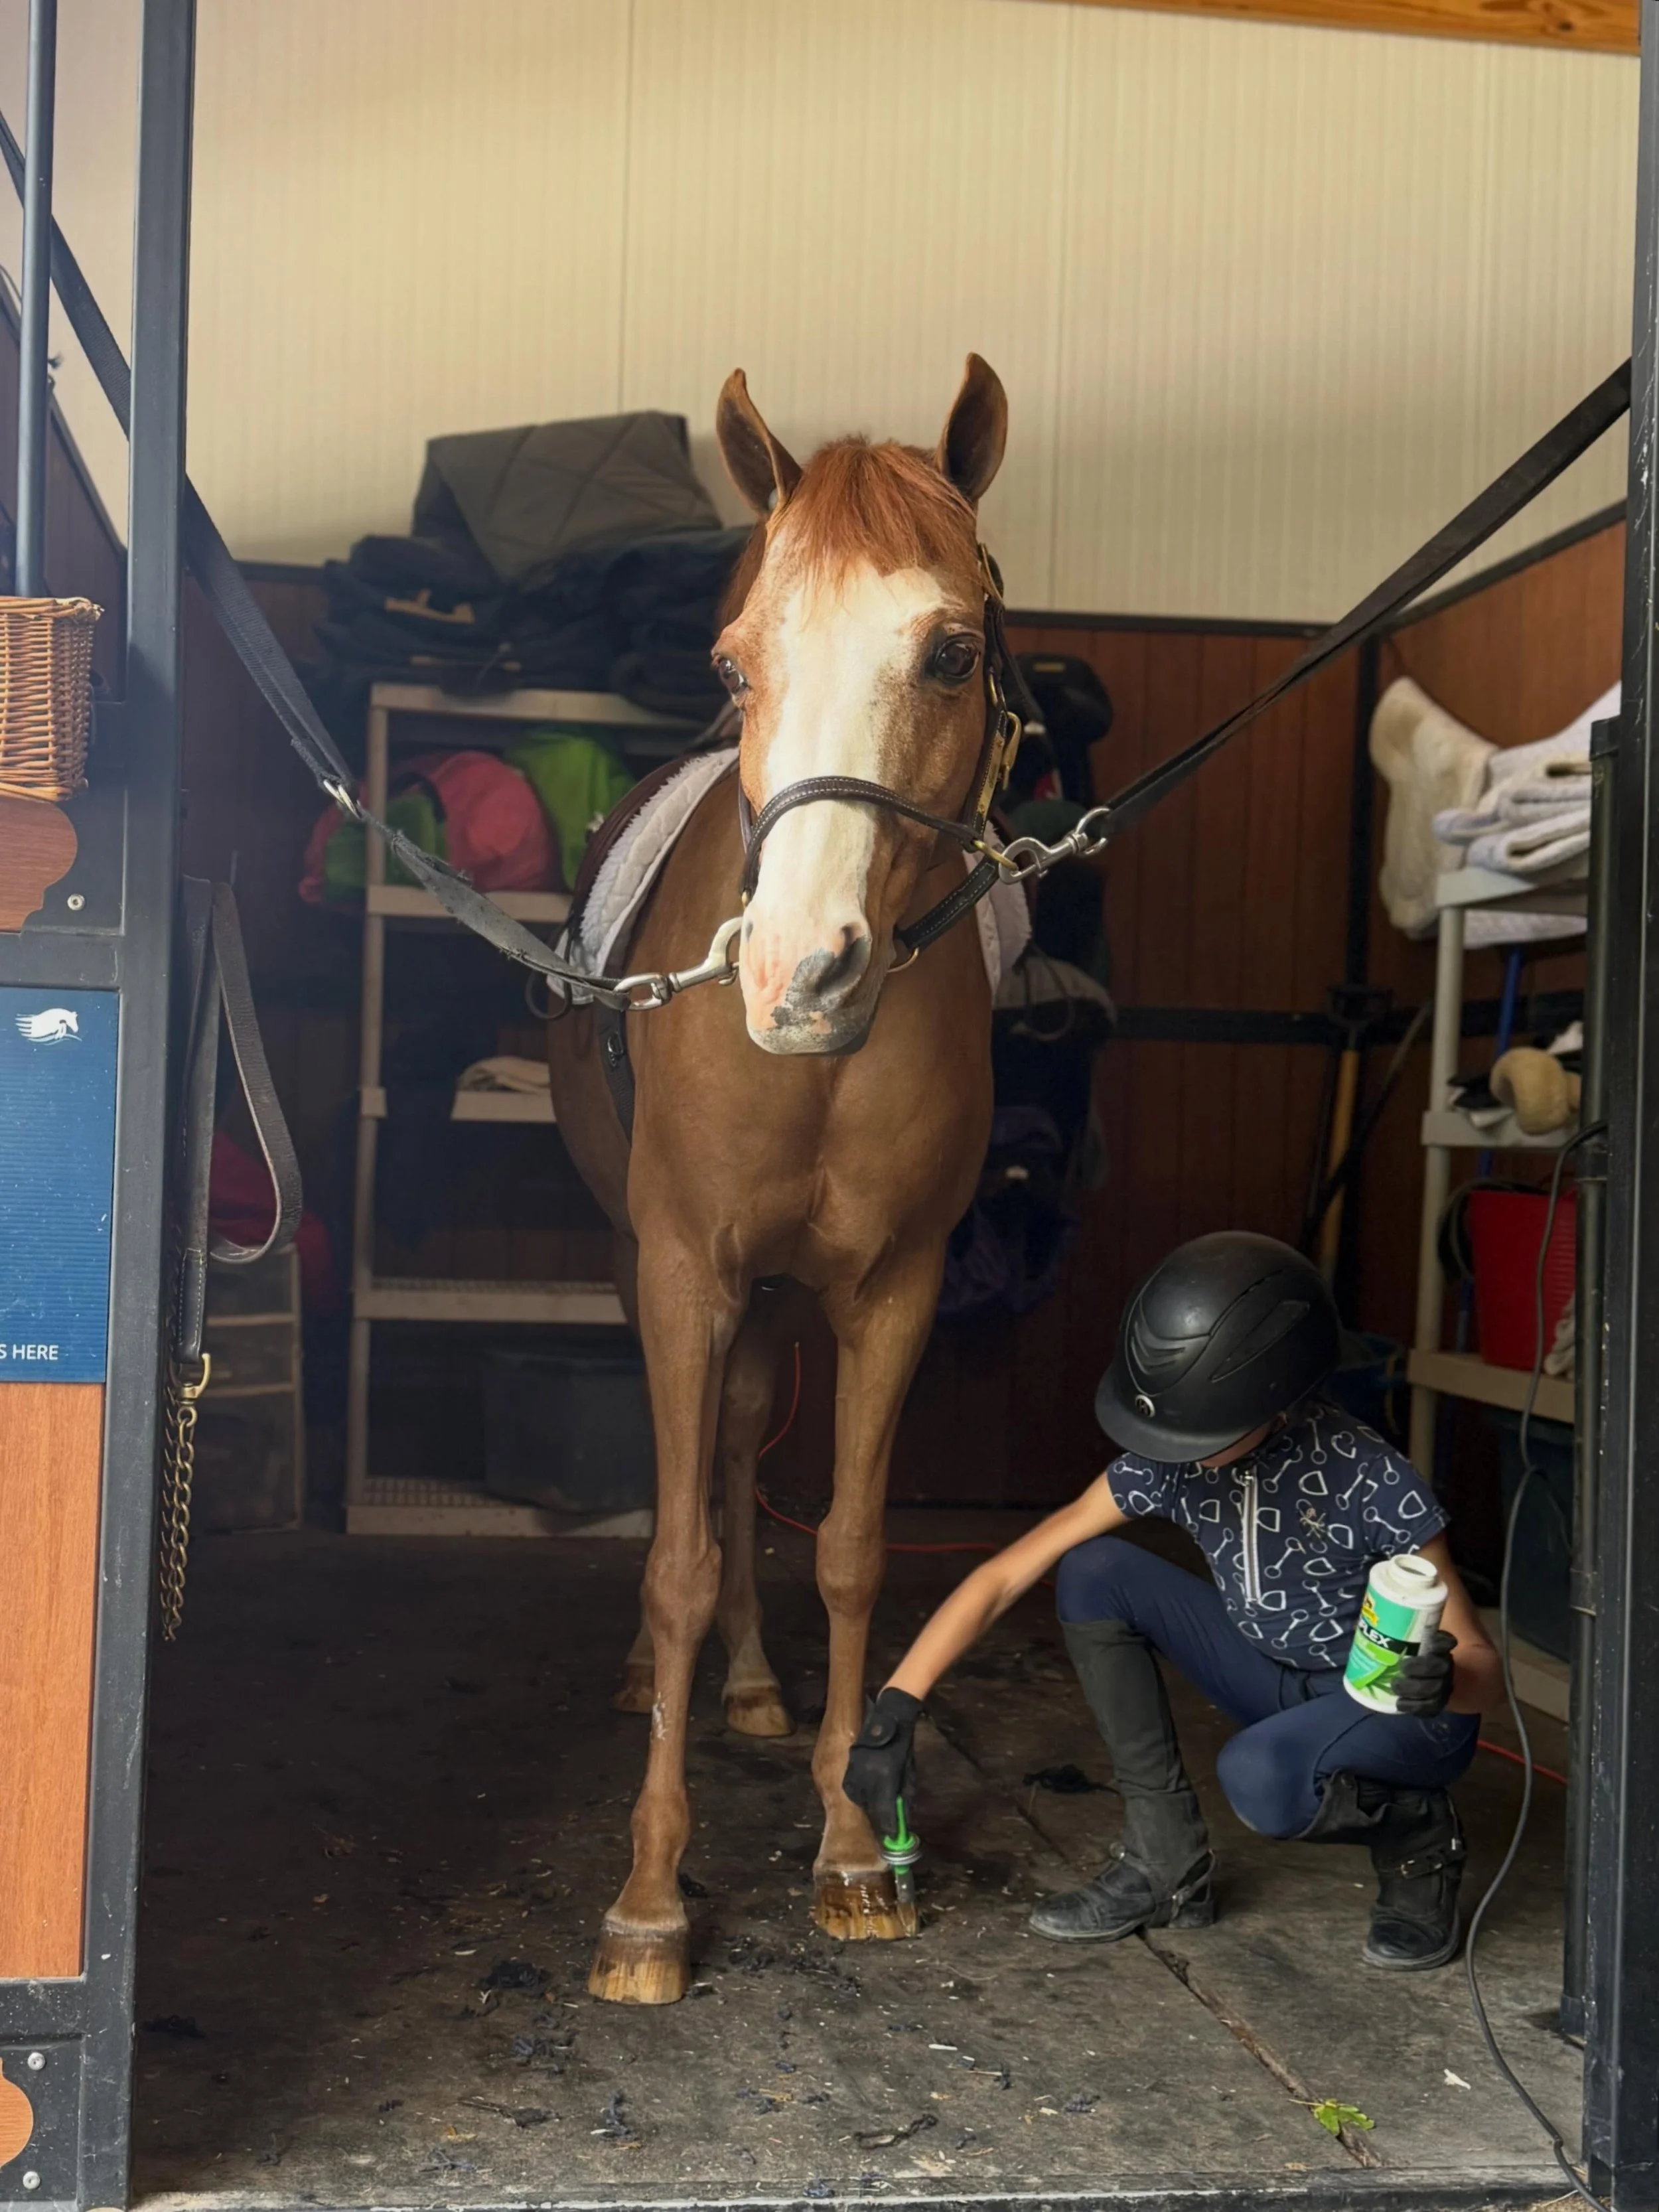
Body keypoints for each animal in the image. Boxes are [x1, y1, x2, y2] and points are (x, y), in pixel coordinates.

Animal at [548, 355, 1017, 2006]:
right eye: (736, 661)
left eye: (948, 650)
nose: (796, 974)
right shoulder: (684, 1264)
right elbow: (680, 1558)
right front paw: (644, 1899)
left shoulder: (890, 1293)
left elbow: (855, 1554)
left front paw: (845, 1844)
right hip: (652, 1273)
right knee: (691, 1483)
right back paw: (653, 1673)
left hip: (769, 1306)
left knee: (747, 1442)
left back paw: (748, 1688)